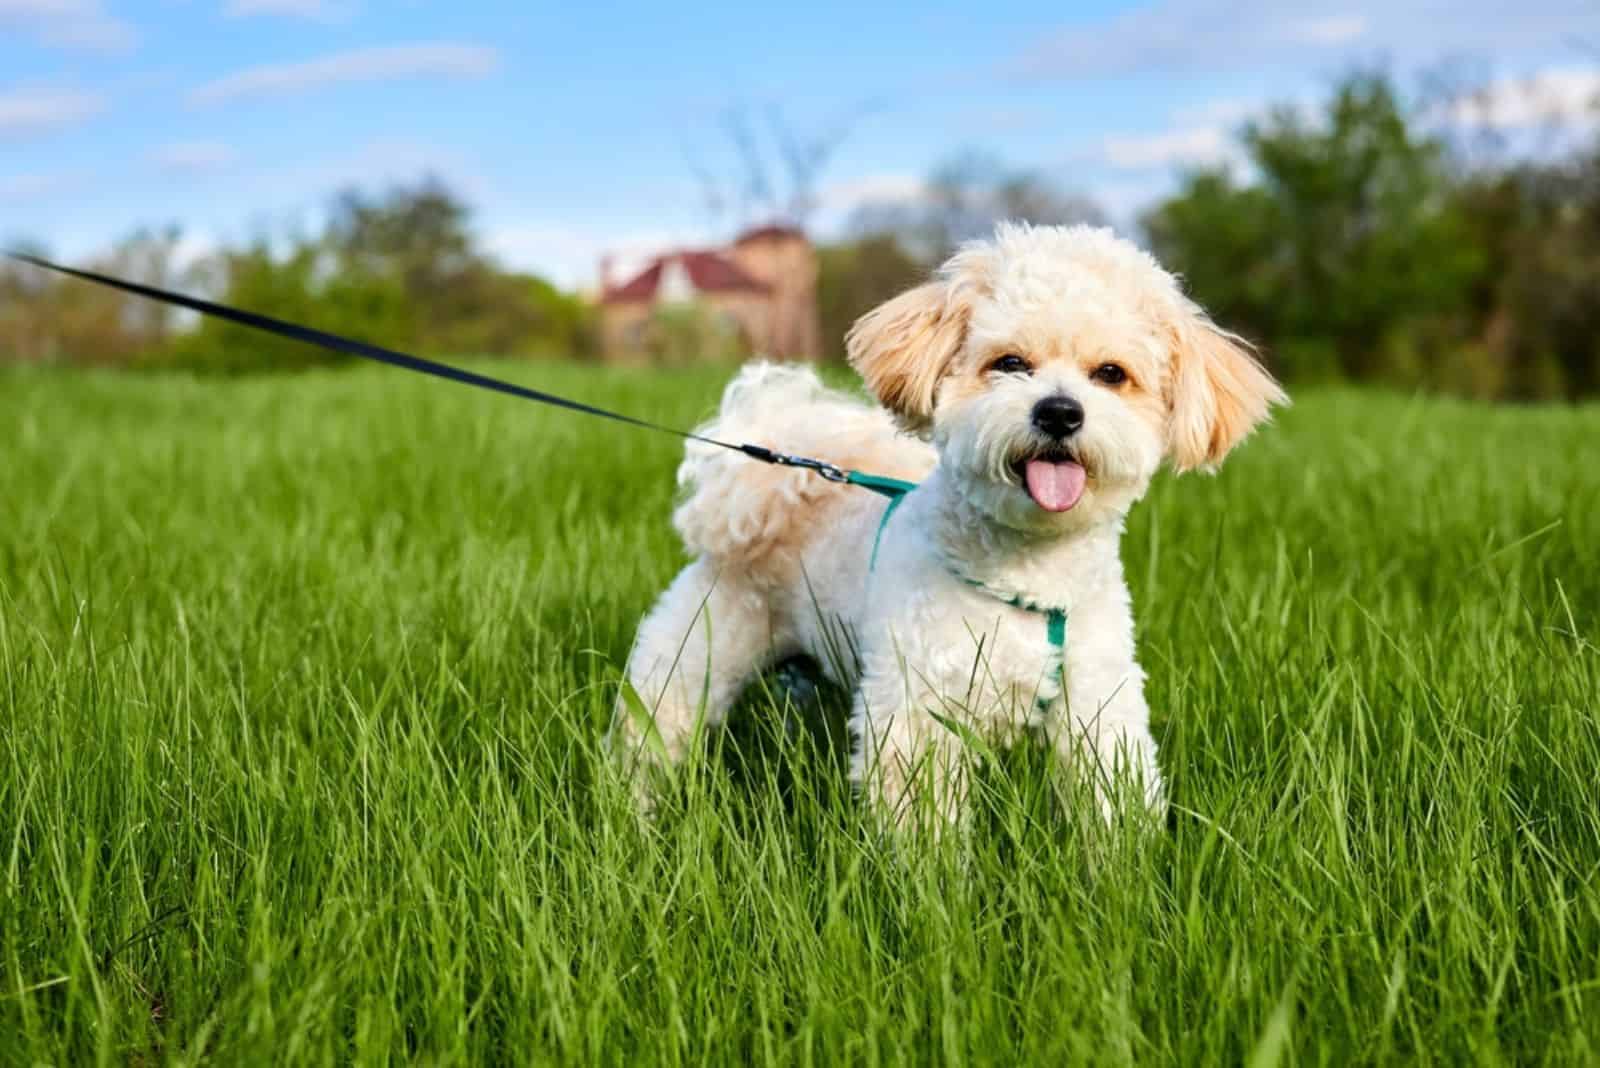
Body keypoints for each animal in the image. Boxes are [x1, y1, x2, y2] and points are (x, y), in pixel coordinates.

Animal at [611, 225, 1286, 824]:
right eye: (1009, 363)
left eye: (1112, 374)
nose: (1060, 412)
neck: (1028, 579)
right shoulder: (917, 713)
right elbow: (925, 826)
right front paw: (932, 884)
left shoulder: (1098, 704)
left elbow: (1112, 799)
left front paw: (1123, 870)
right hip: (688, 659)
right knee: (649, 739)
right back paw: (637, 819)